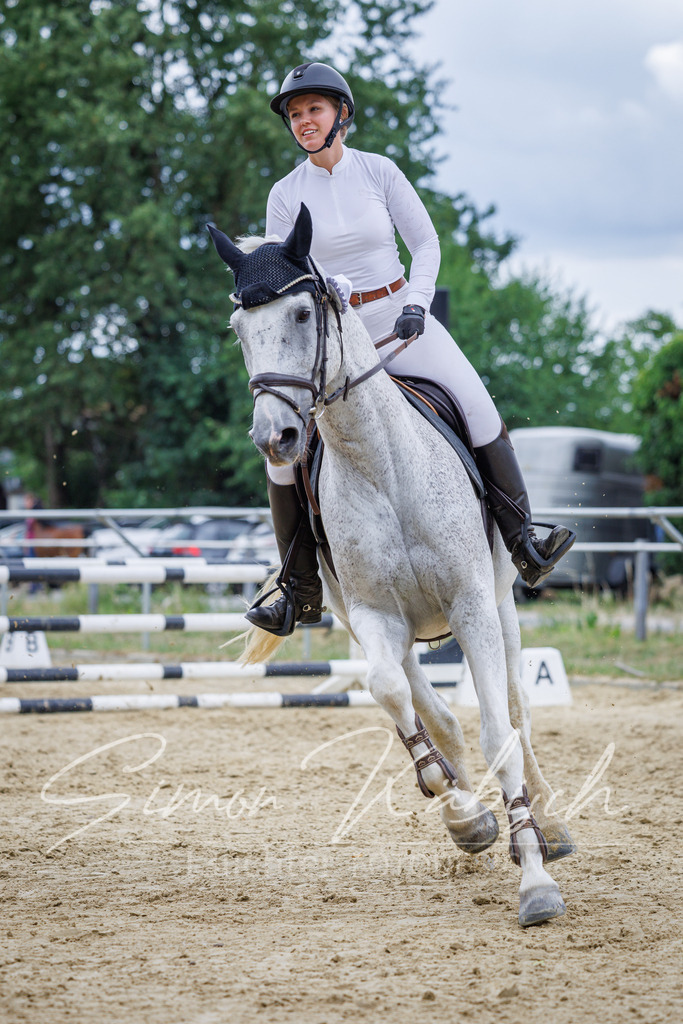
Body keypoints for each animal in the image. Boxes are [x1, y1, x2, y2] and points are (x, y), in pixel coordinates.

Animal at [208, 204, 574, 927]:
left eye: (302, 314)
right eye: (239, 329)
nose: (275, 438)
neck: (382, 467)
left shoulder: (470, 605)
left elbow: (499, 730)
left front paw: (535, 880)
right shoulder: (374, 617)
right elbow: (392, 697)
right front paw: (463, 815)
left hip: (502, 606)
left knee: (517, 711)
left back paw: (547, 823)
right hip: (394, 629)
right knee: (433, 711)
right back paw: (471, 814)